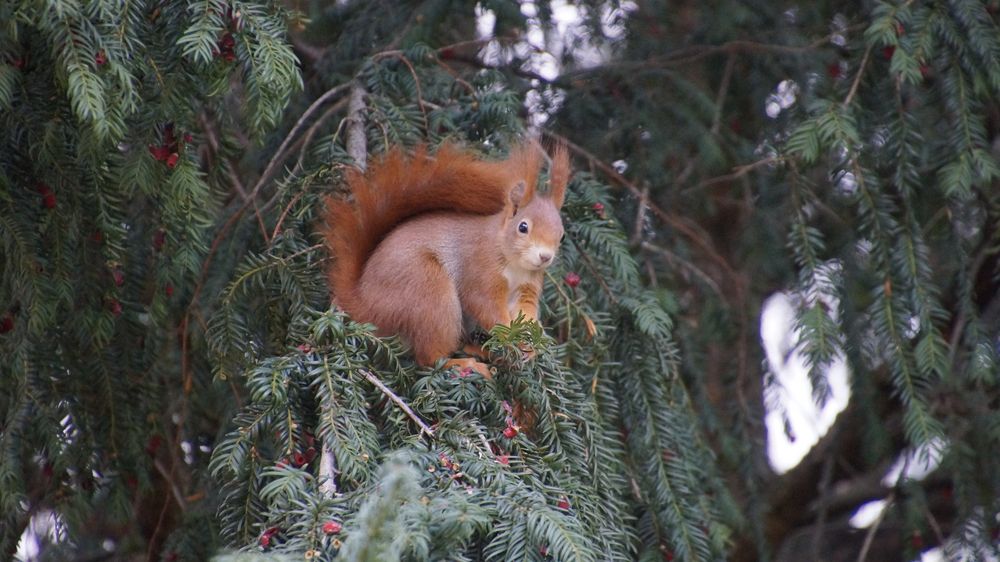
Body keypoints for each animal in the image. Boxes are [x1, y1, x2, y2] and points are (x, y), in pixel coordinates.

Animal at [324, 142, 568, 374]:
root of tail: (364, 304)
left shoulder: (528, 287)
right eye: (523, 227)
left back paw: (480, 351)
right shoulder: (480, 270)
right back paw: (464, 365)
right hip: (429, 292)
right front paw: (512, 337)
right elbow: (485, 305)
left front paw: (531, 343)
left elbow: (525, 313)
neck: (514, 263)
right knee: (429, 359)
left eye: (562, 235)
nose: (545, 256)